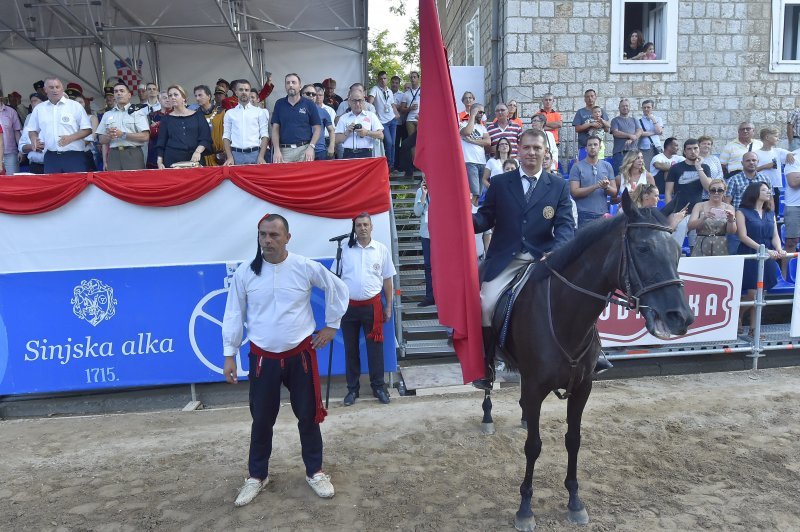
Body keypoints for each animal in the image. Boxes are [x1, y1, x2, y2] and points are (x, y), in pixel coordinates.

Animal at [488, 192, 692, 532]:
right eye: (643, 248)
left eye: (677, 252)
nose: (681, 317)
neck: (565, 315)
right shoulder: (535, 387)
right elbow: (533, 446)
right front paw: (525, 508)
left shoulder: (583, 387)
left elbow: (573, 440)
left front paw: (574, 501)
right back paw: (487, 414)